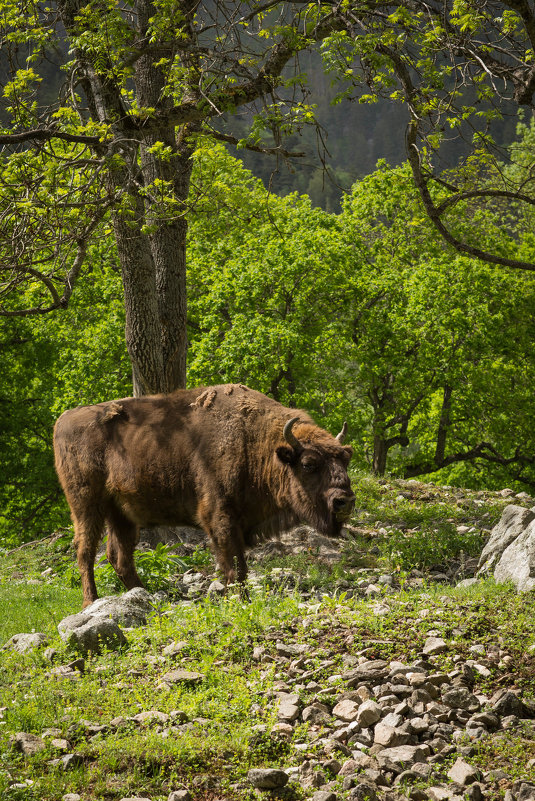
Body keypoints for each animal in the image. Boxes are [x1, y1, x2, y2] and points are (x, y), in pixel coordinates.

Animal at [53, 382, 356, 608]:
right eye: (308, 464)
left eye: (345, 458)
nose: (345, 501)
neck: (258, 444)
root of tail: (63, 420)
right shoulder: (220, 517)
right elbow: (235, 566)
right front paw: (241, 601)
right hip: (86, 504)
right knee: (85, 550)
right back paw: (90, 601)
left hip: (121, 512)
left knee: (119, 556)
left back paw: (147, 598)